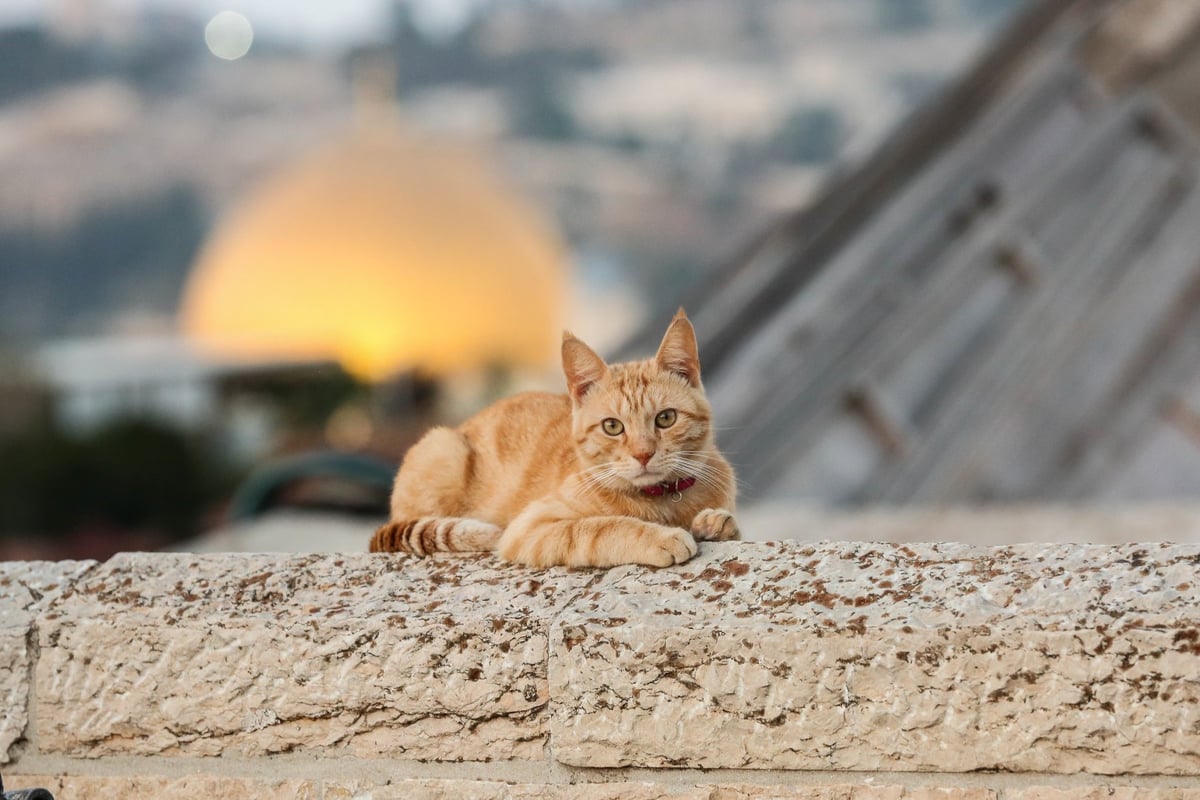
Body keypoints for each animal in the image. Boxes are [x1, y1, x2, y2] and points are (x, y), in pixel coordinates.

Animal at [369, 309, 734, 566]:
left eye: (666, 418)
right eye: (612, 426)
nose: (643, 454)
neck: (662, 501)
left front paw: (715, 522)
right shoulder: (530, 528)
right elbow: (602, 527)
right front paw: (661, 537)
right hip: (443, 449)